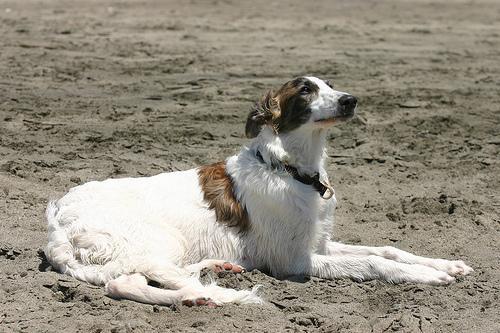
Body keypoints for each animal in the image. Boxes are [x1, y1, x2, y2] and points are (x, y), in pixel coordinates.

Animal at [44, 76, 472, 306]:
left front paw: (446, 264)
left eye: (330, 85)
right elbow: (373, 264)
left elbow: (387, 249)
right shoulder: (295, 261)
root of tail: (57, 225)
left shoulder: (318, 243)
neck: (289, 168)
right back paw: (201, 296)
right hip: (153, 241)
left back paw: (218, 270)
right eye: (305, 90)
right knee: (127, 281)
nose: (351, 101)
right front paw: (428, 276)